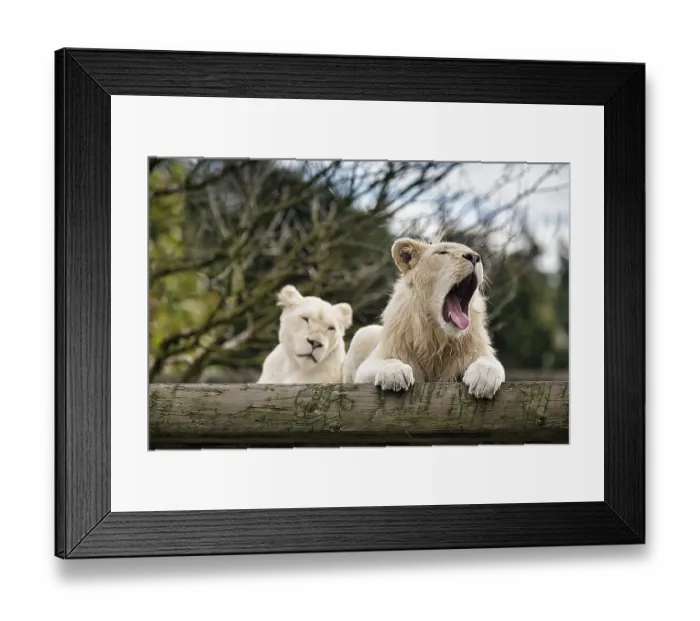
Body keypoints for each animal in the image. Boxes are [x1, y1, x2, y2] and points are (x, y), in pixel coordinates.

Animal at [343, 238, 505, 398]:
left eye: (475, 254)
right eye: (442, 252)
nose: (474, 257)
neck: (436, 336)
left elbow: (490, 362)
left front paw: (484, 378)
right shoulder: (370, 365)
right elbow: (387, 361)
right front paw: (395, 373)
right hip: (363, 333)